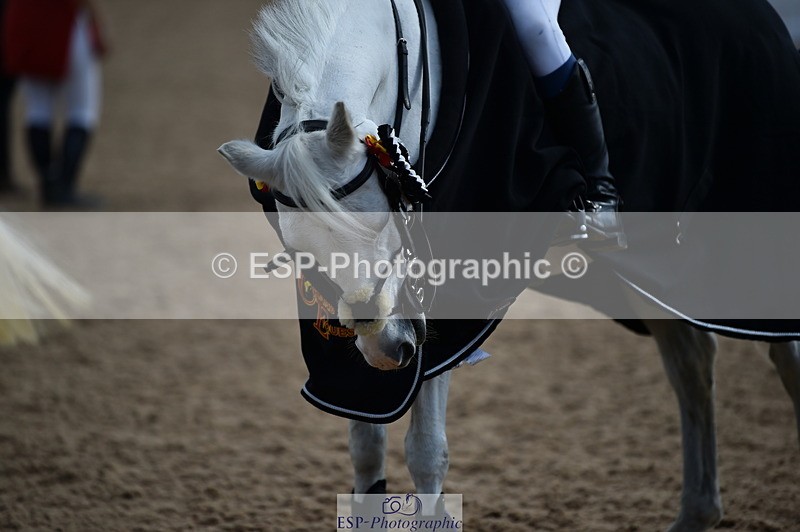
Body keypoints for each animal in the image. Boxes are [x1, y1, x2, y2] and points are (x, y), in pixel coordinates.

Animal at [219, 0, 800, 529]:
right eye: (299, 253)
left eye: (377, 223)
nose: (389, 349)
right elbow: (366, 442)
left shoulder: (450, 297)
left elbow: (427, 451)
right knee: (692, 361)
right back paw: (697, 513)